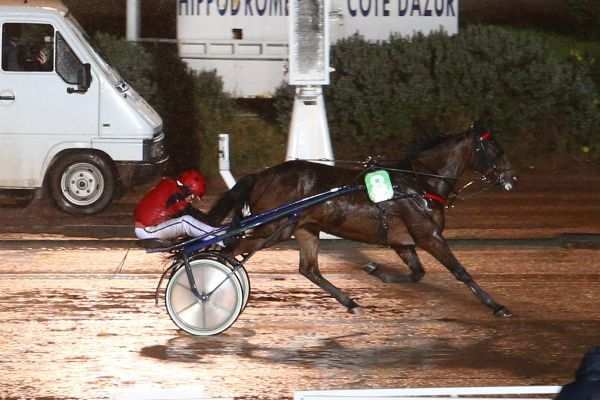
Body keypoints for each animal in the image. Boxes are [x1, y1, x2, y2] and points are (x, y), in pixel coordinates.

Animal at [206, 126, 516, 318]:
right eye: (495, 150)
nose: (511, 178)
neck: (419, 184)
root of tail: (262, 175)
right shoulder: (429, 236)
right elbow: (460, 272)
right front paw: (497, 306)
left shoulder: (403, 242)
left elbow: (417, 273)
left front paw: (376, 271)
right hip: (273, 228)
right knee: (230, 251)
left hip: (304, 229)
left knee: (309, 269)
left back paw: (351, 303)